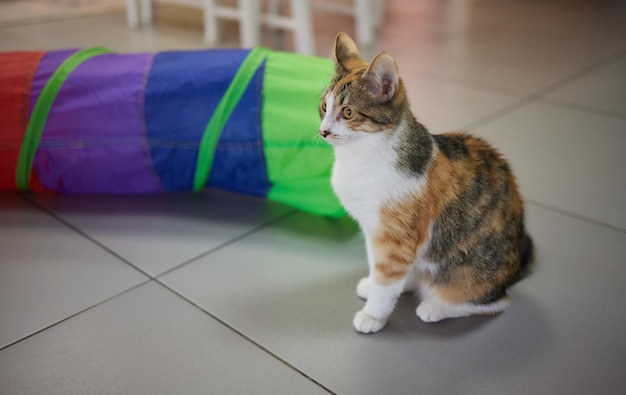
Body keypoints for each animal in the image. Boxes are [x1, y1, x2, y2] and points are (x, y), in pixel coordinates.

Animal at [322, 33, 532, 334]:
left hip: (469, 273)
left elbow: (387, 278)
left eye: (348, 112)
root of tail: (516, 269)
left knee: (496, 302)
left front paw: (373, 315)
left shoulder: (395, 238)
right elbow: (379, 268)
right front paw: (373, 284)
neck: (361, 156)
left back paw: (435, 307)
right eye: (324, 107)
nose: (323, 131)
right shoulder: (373, 229)